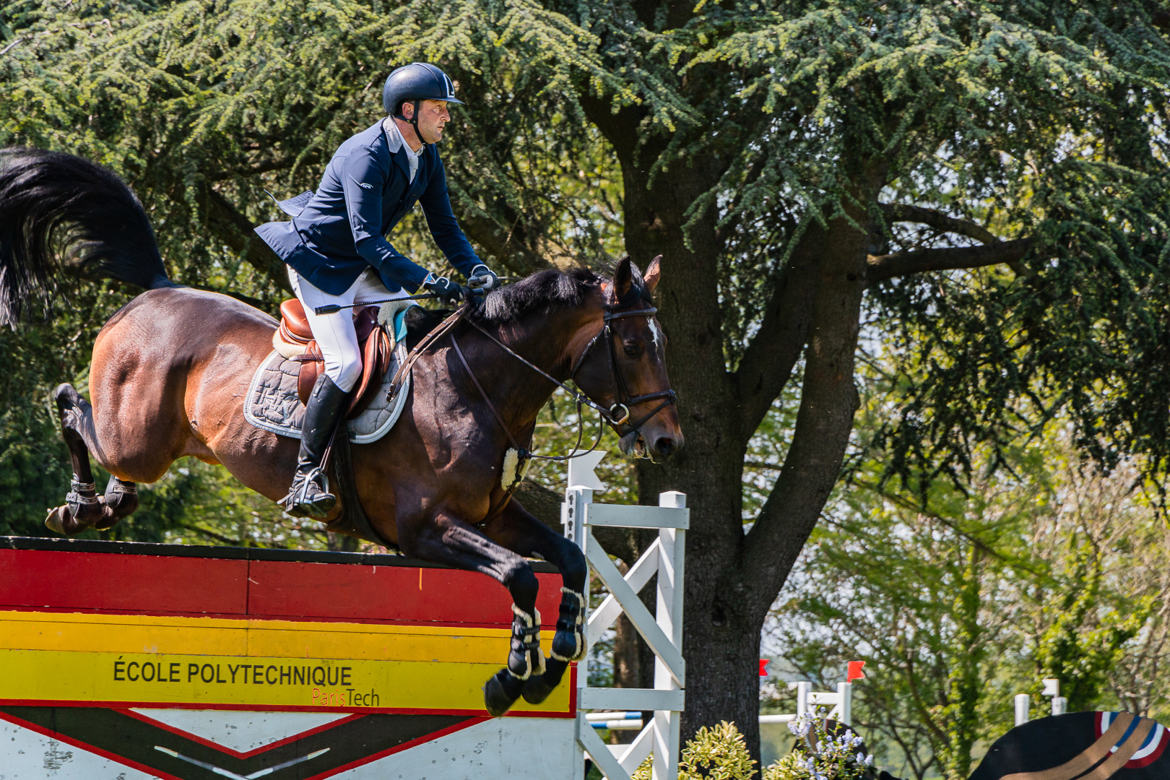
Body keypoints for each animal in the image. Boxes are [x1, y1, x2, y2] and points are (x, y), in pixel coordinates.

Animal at [0, 143, 683, 715]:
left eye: (661, 342)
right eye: (630, 345)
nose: (666, 441)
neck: (474, 390)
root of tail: (158, 292)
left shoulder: (492, 515)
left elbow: (569, 558)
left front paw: (552, 661)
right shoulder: (424, 529)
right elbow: (518, 573)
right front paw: (512, 675)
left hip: (148, 444)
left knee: (112, 458)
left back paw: (106, 505)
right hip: (136, 437)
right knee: (69, 402)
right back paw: (78, 508)